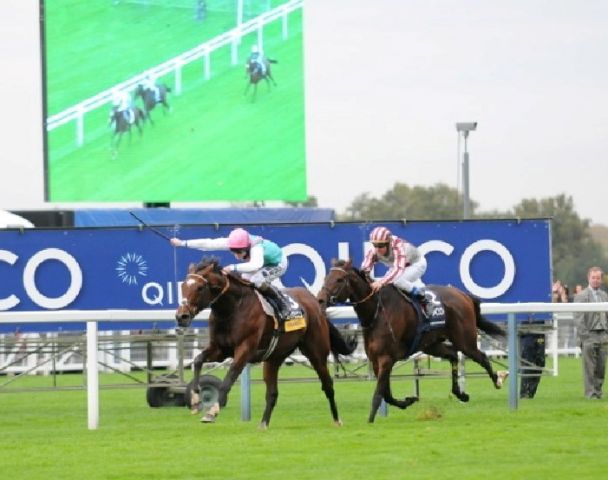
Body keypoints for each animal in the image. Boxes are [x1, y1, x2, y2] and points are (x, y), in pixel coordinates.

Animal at [176, 256, 356, 430]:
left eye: (200, 287)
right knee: (272, 393)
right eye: (183, 286)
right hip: (274, 358)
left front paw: (211, 412)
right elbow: (198, 360)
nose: (181, 316)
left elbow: (229, 377)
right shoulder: (220, 349)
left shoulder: (245, 349)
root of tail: (316, 303)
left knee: (328, 385)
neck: (232, 309)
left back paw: (337, 420)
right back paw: (263, 424)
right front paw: (195, 400)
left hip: (317, 352)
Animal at [318, 260, 508, 422]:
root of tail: (463, 295)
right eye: (326, 277)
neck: (376, 313)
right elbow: (386, 394)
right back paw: (461, 394)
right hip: (431, 344)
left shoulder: (386, 359)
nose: (320, 299)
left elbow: (379, 394)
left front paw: (370, 421)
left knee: (481, 356)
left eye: (339, 279)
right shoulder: (376, 360)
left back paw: (497, 380)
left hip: (464, 340)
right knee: (453, 355)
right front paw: (408, 400)